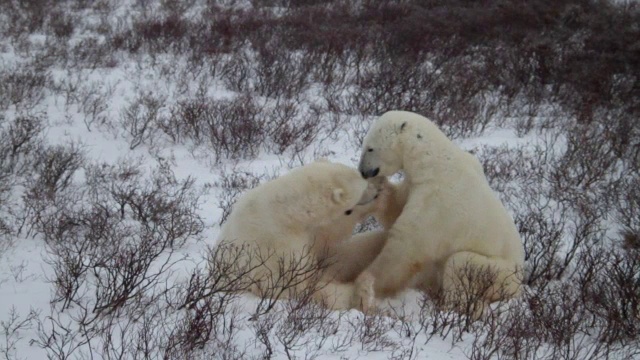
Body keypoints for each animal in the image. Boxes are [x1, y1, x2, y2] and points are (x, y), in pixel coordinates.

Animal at [215, 160, 384, 310]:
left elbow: (334, 252)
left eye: (362, 178)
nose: (377, 190)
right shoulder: (278, 248)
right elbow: (297, 285)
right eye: (363, 187)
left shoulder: (314, 235)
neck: (288, 214)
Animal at [356, 110, 524, 318]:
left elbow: (407, 248)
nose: (363, 171)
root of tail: (519, 287)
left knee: (458, 263)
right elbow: (396, 208)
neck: (434, 161)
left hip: (500, 274)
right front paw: (378, 191)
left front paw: (366, 287)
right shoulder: (415, 184)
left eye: (370, 148)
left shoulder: (436, 201)